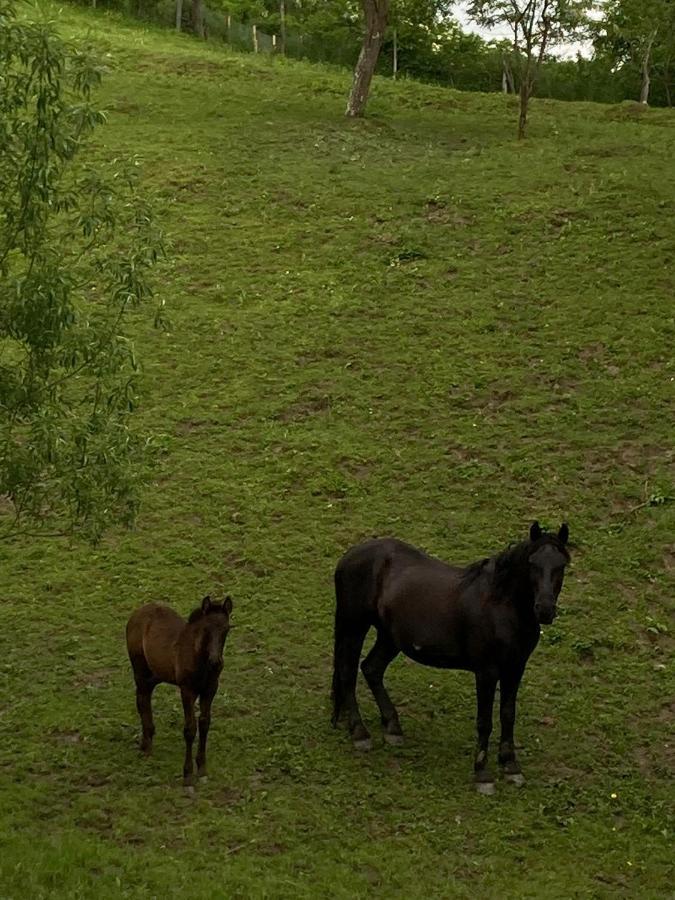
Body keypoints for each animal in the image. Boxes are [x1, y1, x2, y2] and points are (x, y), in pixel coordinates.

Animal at [126, 596, 232, 788]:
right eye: (206, 629)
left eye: (226, 629)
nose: (215, 662)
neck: (199, 658)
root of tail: (137, 613)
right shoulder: (187, 690)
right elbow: (190, 729)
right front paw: (188, 775)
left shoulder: (210, 689)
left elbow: (204, 724)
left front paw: (202, 769)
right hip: (139, 669)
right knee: (142, 700)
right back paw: (146, 746)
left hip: (155, 674)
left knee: (145, 696)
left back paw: (147, 740)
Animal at [332, 524, 572, 792]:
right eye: (532, 563)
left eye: (561, 564)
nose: (545, 610)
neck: (500, 606)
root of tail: (349, 556)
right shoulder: (487, 672)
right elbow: (485, 721)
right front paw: (483, 774)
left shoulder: (515, 668)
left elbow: (508, 715)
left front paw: (511, 766)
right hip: (354, 626)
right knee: (348, 672)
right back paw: (359, 733)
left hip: (389, 637)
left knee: (371, 669)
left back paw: (392, 728)